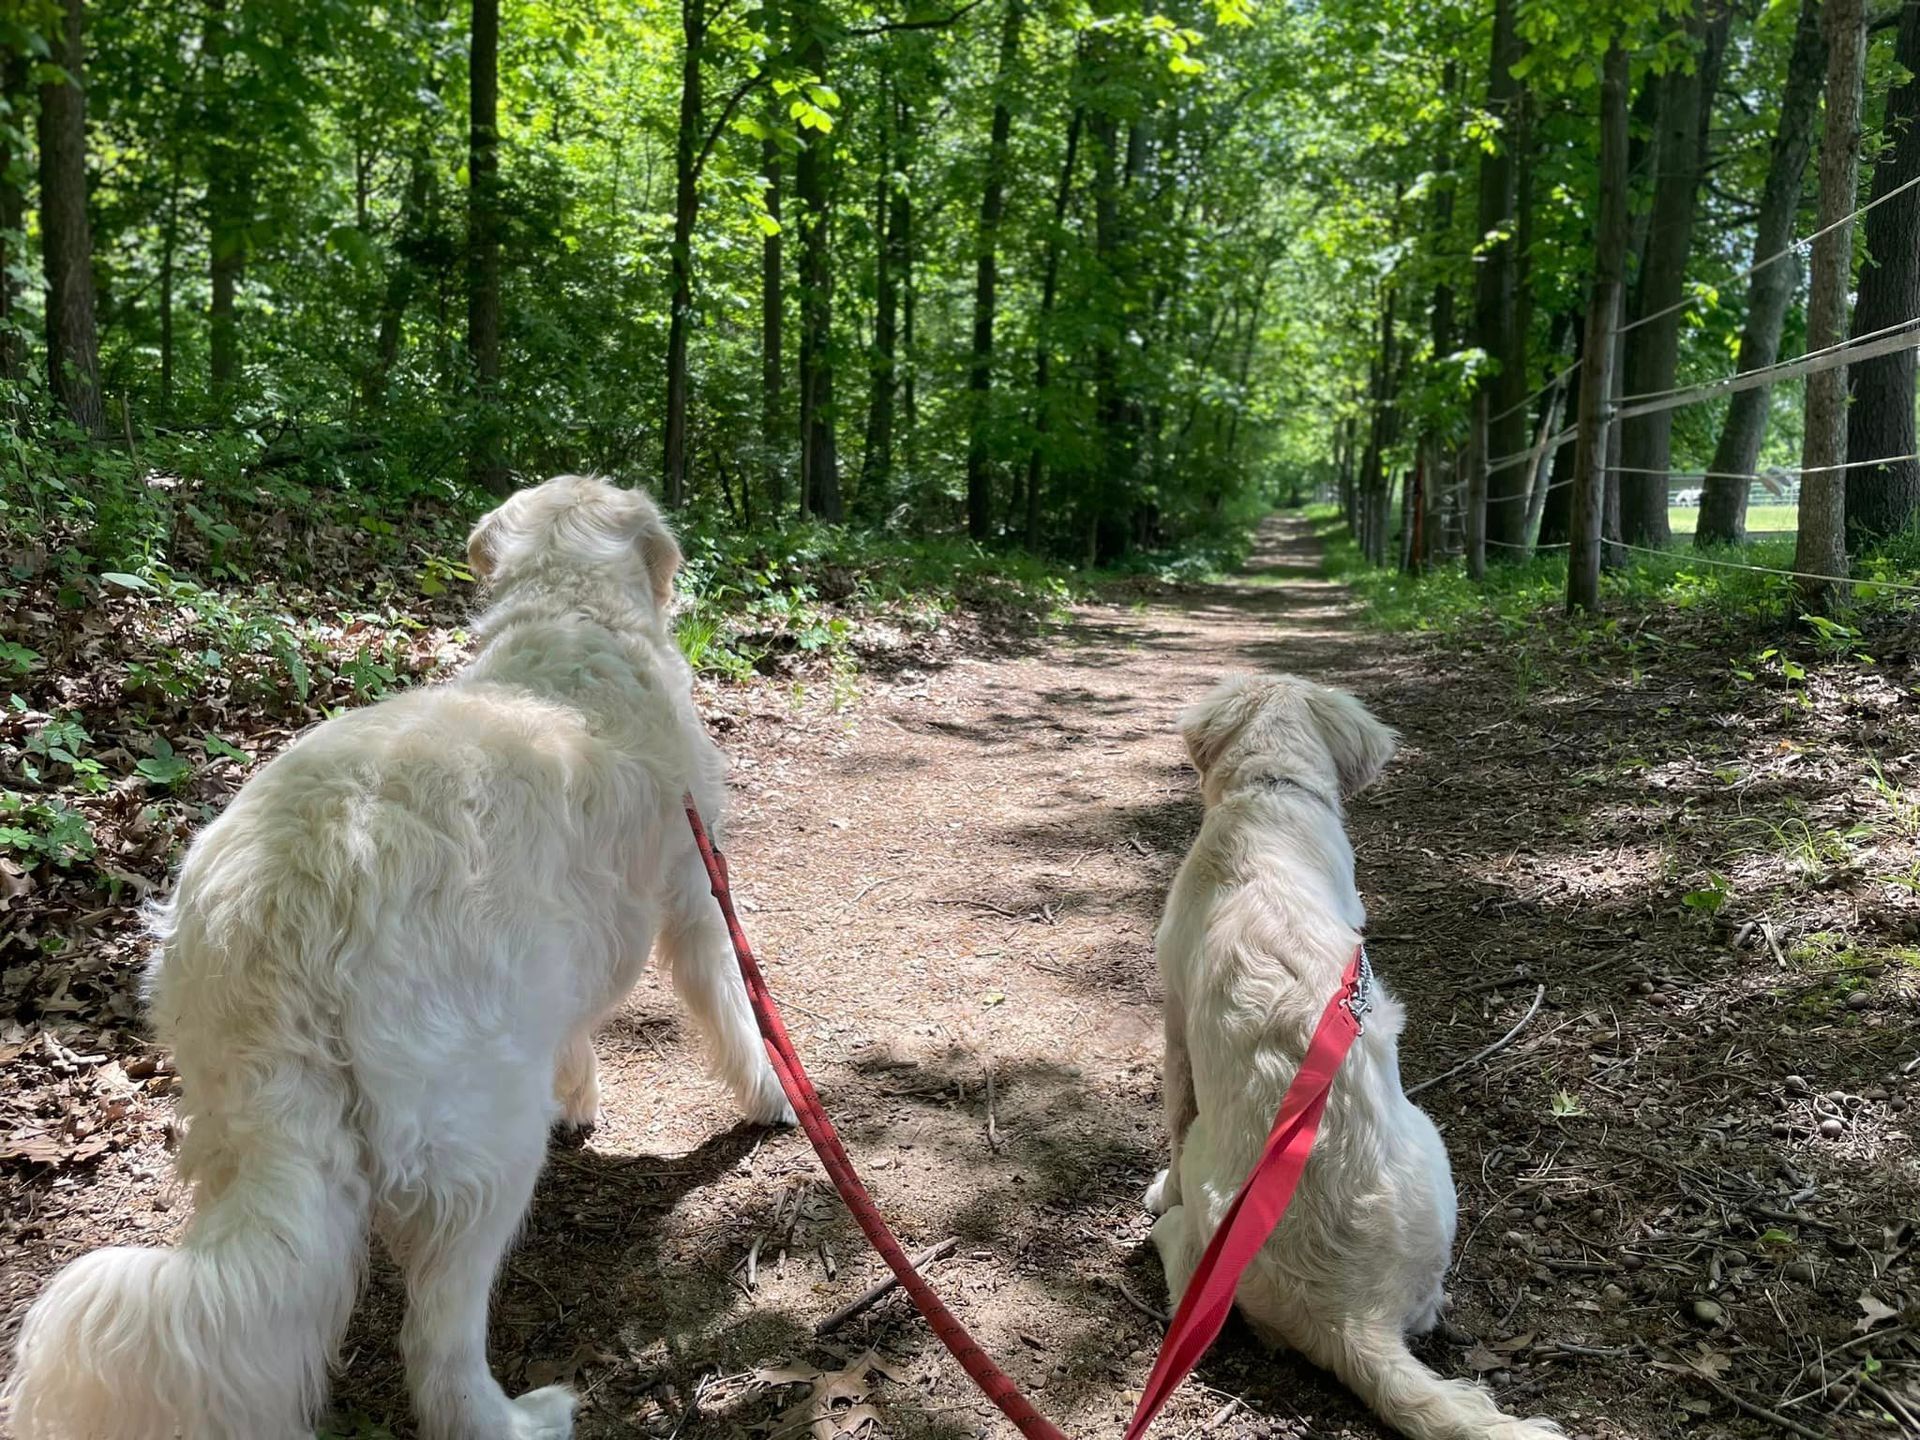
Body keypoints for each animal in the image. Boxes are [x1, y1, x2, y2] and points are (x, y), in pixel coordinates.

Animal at [3, 476, 791, 1440]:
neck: (573, 617)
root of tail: (286, 893)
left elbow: (576, 1035)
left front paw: (580, 1100)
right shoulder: (697, 898)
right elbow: (739, 1013)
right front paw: (773, 1098)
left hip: (245, 1119)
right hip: (481, 1142)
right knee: (439, 1353)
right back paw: (520, 1418)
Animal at [1136, 675, 1559, 1440]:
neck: (1271, 797)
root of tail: (1351, 1319)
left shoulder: (1175, 1028)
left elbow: (1174, 1122)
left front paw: (1163, 1184)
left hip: (1219, 1204)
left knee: (1185, 1269)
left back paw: (1166, 1221)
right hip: (1432, 1154)